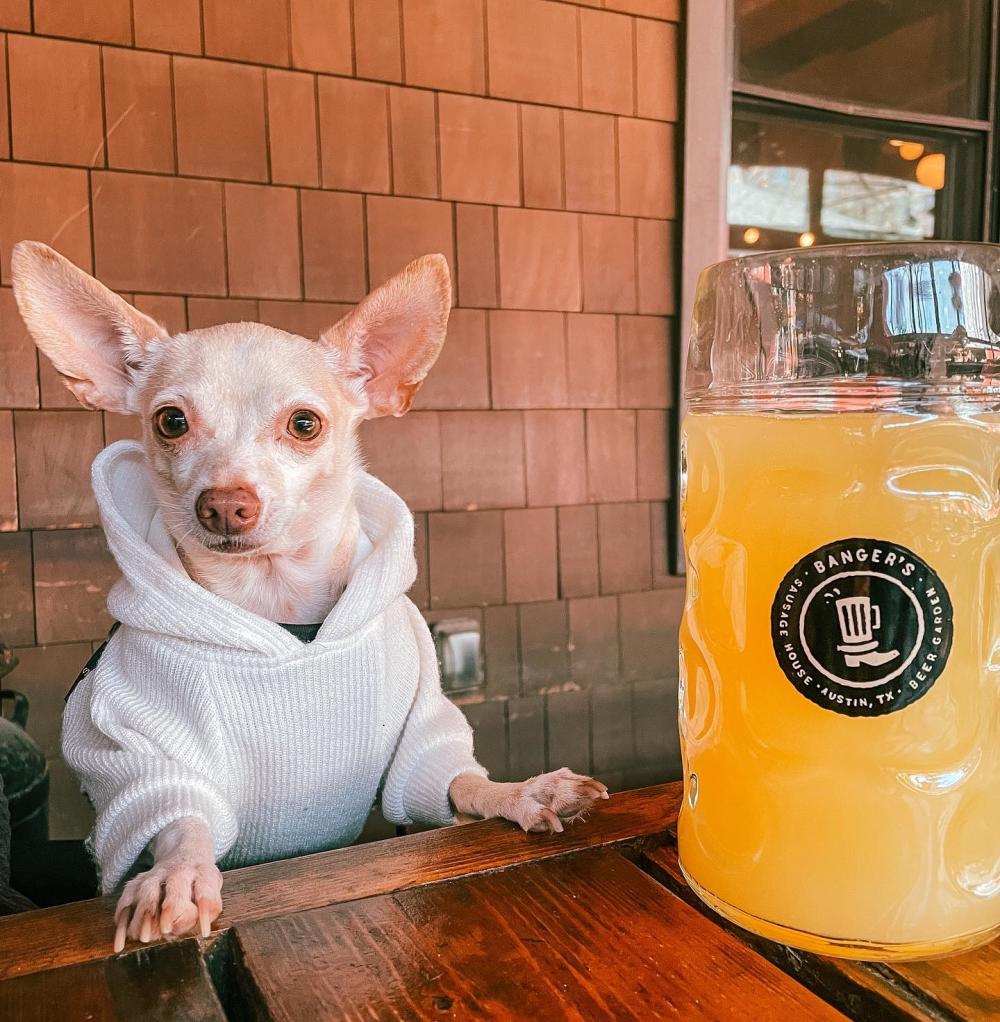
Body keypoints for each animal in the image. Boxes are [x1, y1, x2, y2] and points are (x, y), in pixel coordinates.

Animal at [11, 239, 609, 948]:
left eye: (304, 424)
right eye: (171, 421)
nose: (224, 504)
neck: (280, 607)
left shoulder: (417, 738)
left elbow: (458, 780)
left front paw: (526, 792)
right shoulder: (141, 750)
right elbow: (180, 817)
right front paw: (176, 876)